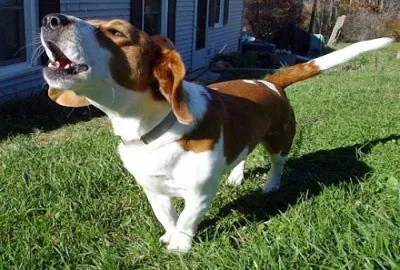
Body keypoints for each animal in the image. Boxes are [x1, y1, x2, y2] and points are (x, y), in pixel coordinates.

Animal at [40, 12, 394, 253]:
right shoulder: (154, 190)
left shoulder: (199, 193)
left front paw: (180, 246)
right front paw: (170, 234)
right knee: (242, 153)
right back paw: (236, 175)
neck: (152, 129)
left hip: (280, 140)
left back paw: (271, 184)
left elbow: (186, 219)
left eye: (116, 32)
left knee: (278, 163)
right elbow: (167, 216)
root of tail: (270, 81)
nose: (50, 18)